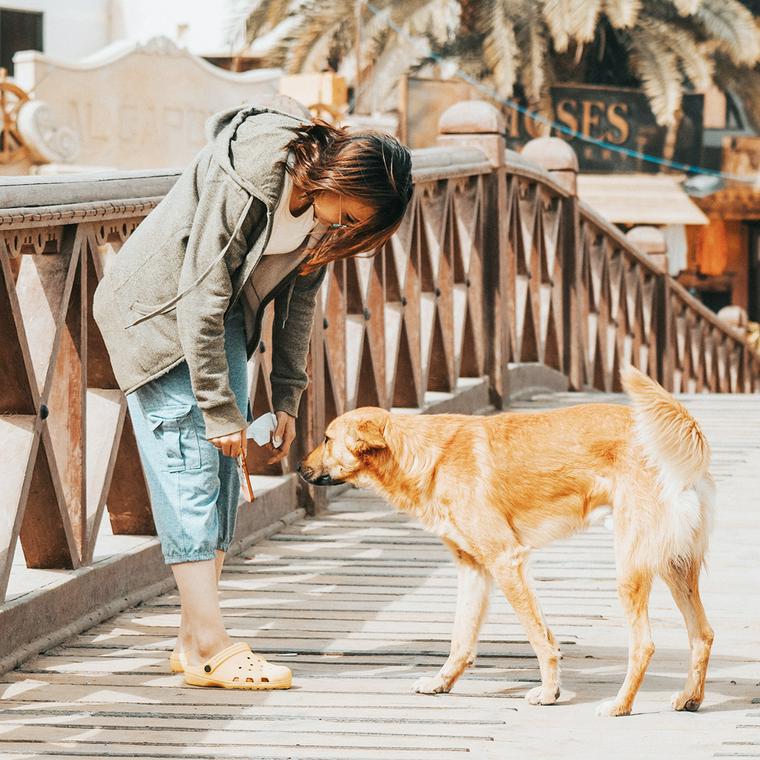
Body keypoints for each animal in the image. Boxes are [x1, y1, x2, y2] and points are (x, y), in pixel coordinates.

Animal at [300, 366, 716, 712]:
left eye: (326, 438)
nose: (301, 468)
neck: (424, 456)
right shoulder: (474, 569)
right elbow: (463, 639)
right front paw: (441, 683)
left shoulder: (506, 561)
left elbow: (538, 638)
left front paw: (549, 693)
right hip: (675, 567)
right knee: (702, 635)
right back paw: (689, 698)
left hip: (631, 569)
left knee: (644, 644)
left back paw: (620, 706)